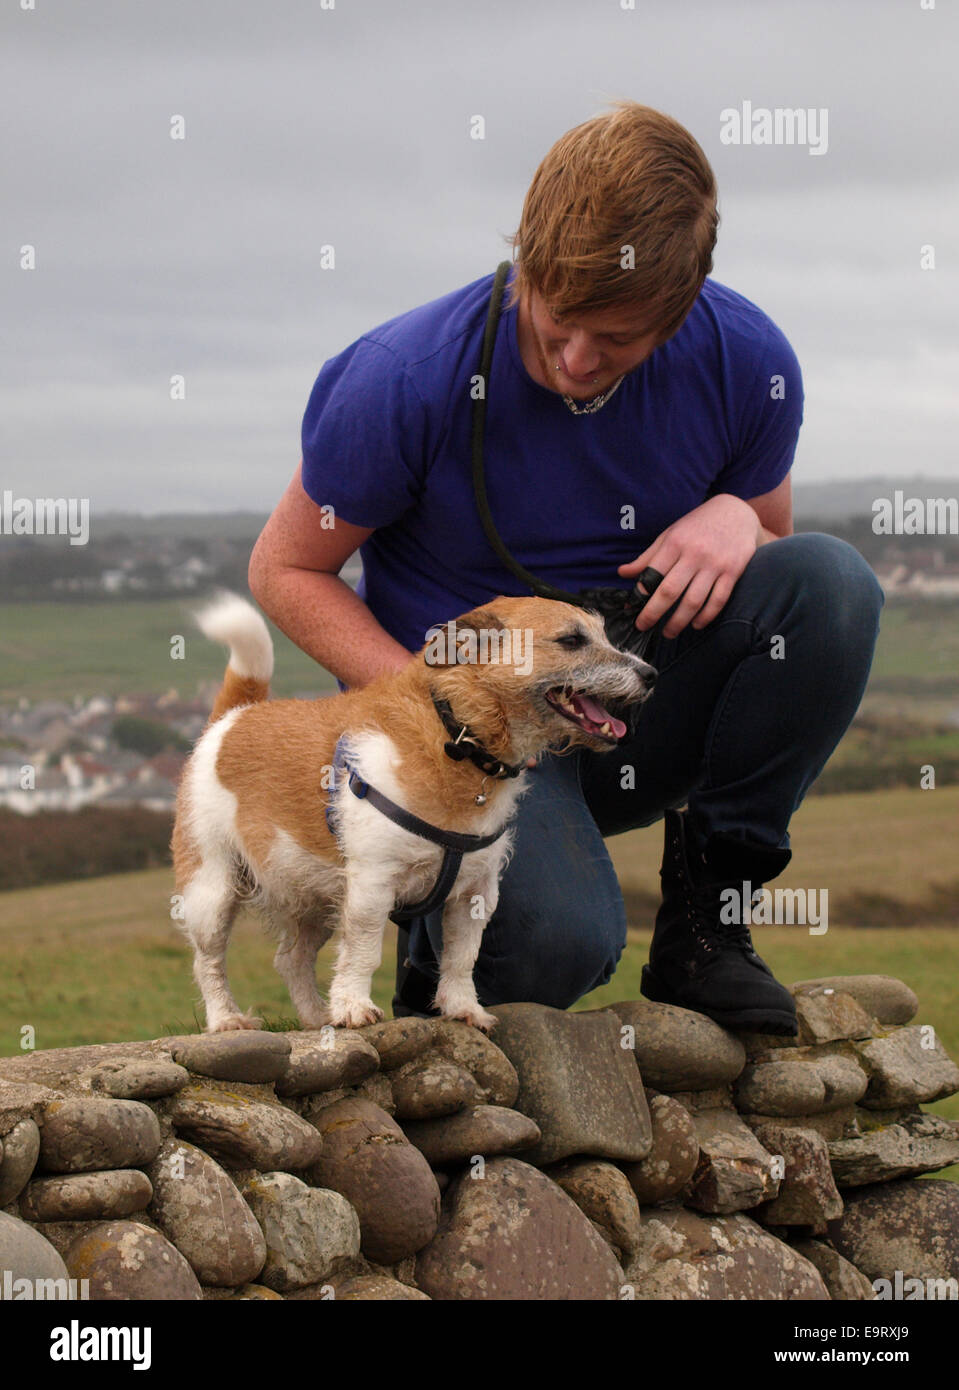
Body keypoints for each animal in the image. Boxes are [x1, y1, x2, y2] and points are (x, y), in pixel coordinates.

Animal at [168, 594, 653, 1034]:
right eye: (572, 640)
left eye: (605, 634)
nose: (650, 674)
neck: (456, 738)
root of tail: (235, 717)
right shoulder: (372, 885)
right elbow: (363, 951)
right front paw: (355, 1008)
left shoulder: (474, 894)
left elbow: (461, 959)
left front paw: (463, 1008)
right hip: (213, 889)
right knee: (208, 960)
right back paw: (226, 1018)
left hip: (312, 894)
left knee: (291, 959)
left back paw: (316, 1017)